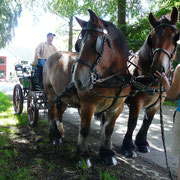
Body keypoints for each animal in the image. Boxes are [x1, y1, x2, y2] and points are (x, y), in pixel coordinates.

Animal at [43, 9, 131, 166]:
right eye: (78, 45)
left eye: (94, 44)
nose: (77, 80)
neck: (114, 79)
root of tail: (52, 56)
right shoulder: (88, 104)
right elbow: (85, 129)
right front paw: (83, 155)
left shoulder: (118, 106)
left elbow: (109, 129)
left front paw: (107, 153)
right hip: (51, 93)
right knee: (52, 112)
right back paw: (55, 136)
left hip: (62, 97)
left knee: (58, 112)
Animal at [121, 6, 179, 158]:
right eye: (151, 38)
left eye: (175, 37)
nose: (158, 68)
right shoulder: (136, 101)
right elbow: (132, 122)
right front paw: (128, 146)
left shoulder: (158, 102)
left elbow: (148, 122)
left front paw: (142, 143)